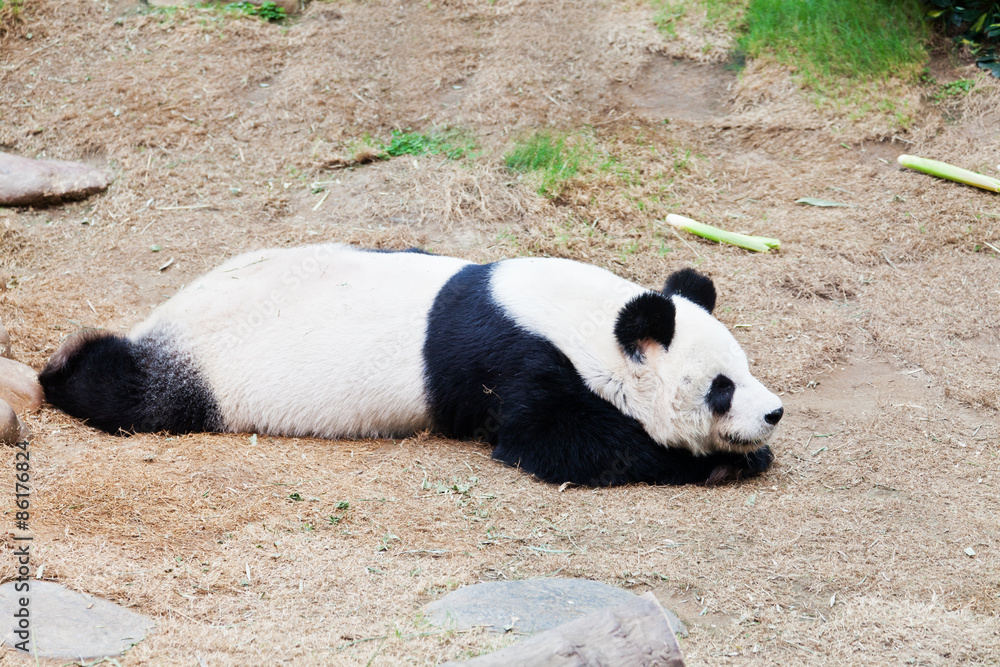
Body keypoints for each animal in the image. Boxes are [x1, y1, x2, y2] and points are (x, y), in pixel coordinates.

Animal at [39, 243, 783, 487]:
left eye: (746, 368)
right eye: (720, 388)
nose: (774, 412)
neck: (585, 318)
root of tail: (163, 316)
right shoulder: (518, 358)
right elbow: (561, 442)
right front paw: (714, 460)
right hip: (205, 366)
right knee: (138, 394)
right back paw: (63, 366)